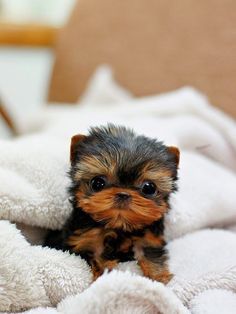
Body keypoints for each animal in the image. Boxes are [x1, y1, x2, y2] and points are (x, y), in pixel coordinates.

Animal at [44, 124, 180, 284]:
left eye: (149, 188)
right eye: (97, 183)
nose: (123, 194)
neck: (119, 225)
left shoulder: (148, 239)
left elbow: (151, 256)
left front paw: (158, 278)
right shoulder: (86, 241)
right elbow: (98, 260)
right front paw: (105, 275)